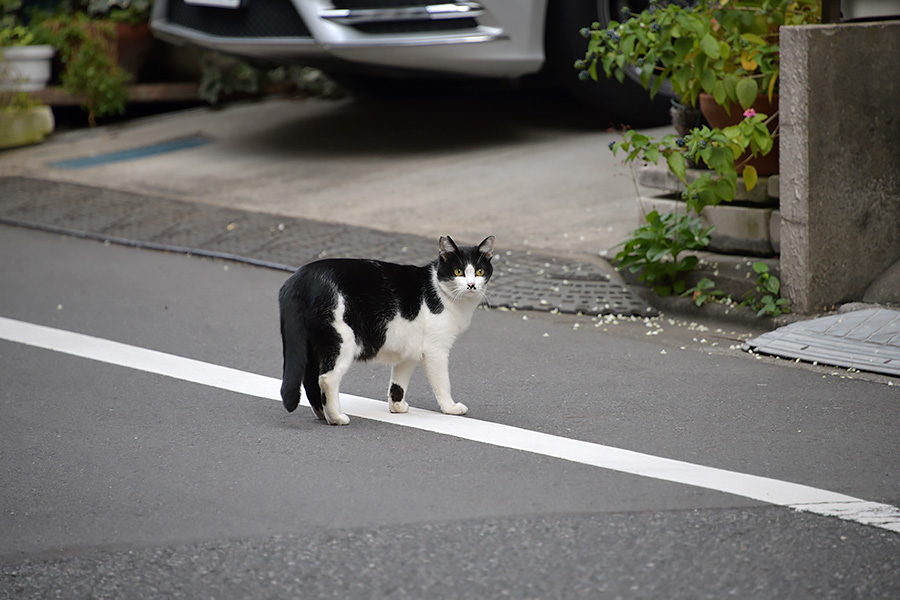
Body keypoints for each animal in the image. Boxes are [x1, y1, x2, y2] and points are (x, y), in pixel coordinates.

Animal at [278, 234, 496, 426]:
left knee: (309, 379)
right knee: (326, 379)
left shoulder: (410, 350)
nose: (471, 285)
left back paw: (322, 414)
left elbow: (398, 383)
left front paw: (397, 407)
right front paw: (450, 408)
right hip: (341, 340)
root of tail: (299, 278)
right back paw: (336, 418)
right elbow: (443, 384)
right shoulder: (436, 350)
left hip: (311, 345)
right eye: (458, 272)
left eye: (479, 272)